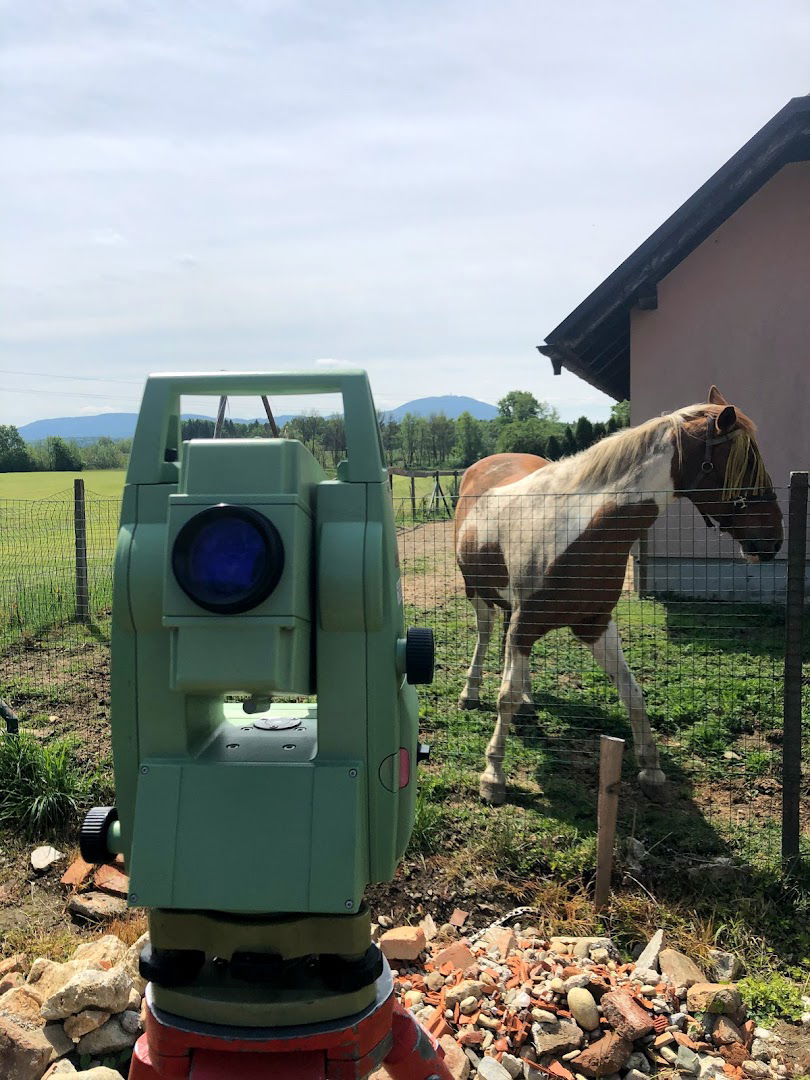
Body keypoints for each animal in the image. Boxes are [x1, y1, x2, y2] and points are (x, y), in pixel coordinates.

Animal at [453, 388, 781, 803]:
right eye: (746, 462)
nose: (773, 539)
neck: (582, 529)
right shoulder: (527, 623)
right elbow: (505, 696)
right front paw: (493, 775)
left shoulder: (594, 625)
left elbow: (632, 692)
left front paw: (651, 769)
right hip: (478, 594)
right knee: (484, 637)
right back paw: (470, 691)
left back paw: (527, 699)